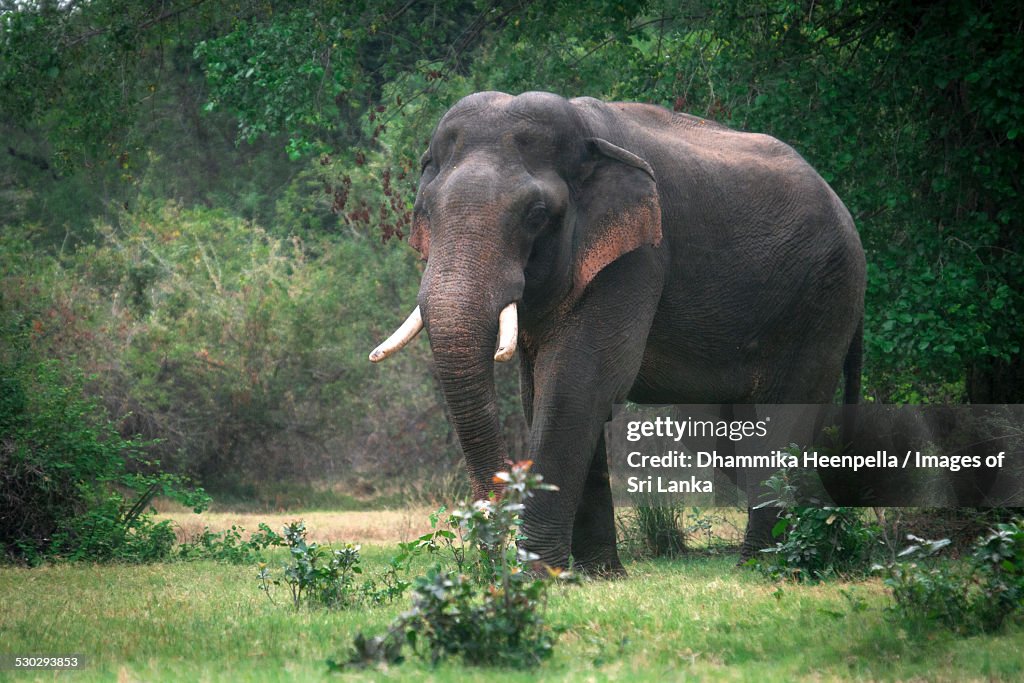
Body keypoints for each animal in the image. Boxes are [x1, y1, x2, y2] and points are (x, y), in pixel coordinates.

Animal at [368, 89, 864, 573]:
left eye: (536, 214)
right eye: (425, 211)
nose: (490, 564)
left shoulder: (637, 256)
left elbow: (578, 381)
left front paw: (539, 576)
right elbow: (544, 392)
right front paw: (594, 576)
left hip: (822, 298)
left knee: (783, 416)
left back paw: (768, 566)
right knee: (723, 437)